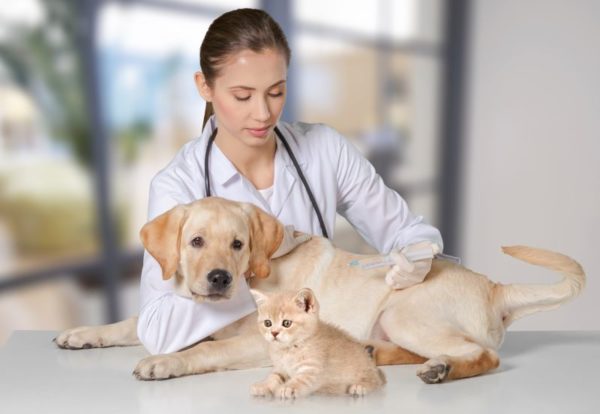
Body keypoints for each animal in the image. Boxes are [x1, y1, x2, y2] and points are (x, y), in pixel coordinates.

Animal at [54, 198, 584, 384]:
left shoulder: (257, 342)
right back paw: (380, 354)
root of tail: (495, 287)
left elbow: (206, 350)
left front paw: (165, 362)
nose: (220, 278)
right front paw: (82, 333)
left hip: (404, 310)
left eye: (239, 244)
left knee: (484, 356)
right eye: (196, 241)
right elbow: (129, 323)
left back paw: (441, 370)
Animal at [248, 288, 384, 398]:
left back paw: (359, 387)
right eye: (267, 323)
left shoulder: (311, 370)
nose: (274, 333)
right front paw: (264, 386)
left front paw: (287, 388)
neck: (290, 349)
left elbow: (299, 380)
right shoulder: (281, 368)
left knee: (375, 381)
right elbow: (274, 377)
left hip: (366, 372)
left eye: (286, 323)